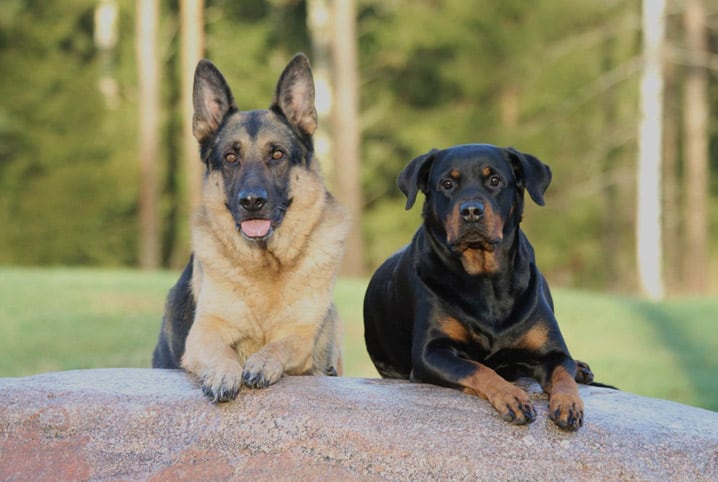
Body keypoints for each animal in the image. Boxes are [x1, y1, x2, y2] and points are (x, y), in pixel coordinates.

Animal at [153, 52, 350, 402]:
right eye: (231, 157)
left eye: (277, 154)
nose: (252, 201)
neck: (267, 267)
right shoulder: (205, 331)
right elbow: (222, 352)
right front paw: (223, 372)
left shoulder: (300, 335)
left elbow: (280, 345)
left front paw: (262, 362)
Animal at [366, 143, 592, 430]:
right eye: (447, 183)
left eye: (495, 180)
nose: (471, 211)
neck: (485, 280)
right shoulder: (431, 353)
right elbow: (478, 368)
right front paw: (512, 397)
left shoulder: (553, 353)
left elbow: (563, 373)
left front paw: (569, 404)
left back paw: (581, 368)